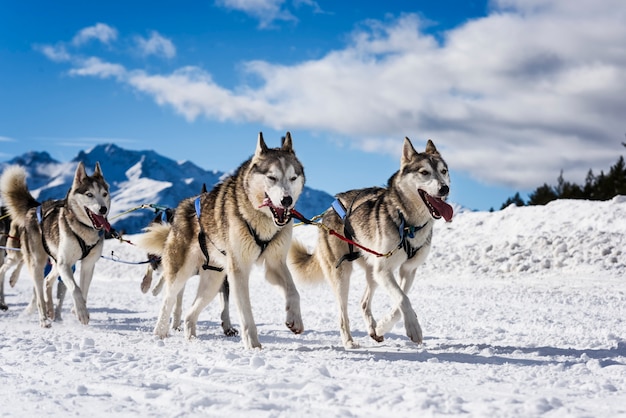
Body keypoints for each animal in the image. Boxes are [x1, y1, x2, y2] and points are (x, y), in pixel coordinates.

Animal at [0, 162, 111, 326]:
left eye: (104, 194)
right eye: (89, 194)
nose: (103, 209)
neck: (83, 229)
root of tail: (36, 207)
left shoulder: (87, 264)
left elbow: (83, 289)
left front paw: (77, 309)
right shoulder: (65, 264)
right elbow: (75, 288)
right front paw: (82, 312)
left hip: (55, 263)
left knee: (47, 281)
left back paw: (51, 310)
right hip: (37, 263)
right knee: (38, 293)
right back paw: (44, 319)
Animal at [135, 132, 304, 348]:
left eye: (293, 178)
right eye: (272, 177)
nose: (287, 200)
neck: (259, 218)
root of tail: (181, 208)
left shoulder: (275, 264)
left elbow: (294, 291)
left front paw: (295, 319)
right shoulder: (239, 270)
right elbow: (246, 313)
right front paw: (253, 345)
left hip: (213, 281)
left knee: (190, 313)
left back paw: (191, 337)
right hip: (181, 272)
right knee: (168, 300)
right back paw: (160, 333)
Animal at [286, 138, 450, 350]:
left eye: (444, 171)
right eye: (424, 172)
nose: (445, 188)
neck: (408, 222)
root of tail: (330, 209)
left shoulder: (408, 270)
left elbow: (400, 302)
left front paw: (383, 326)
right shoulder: (384, 270)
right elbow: (403, 299)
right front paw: (414, 328)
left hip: (372, 271)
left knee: (363, 302)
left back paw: (373, 328)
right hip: (342, 274)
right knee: (342, 313)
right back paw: (348, 341)